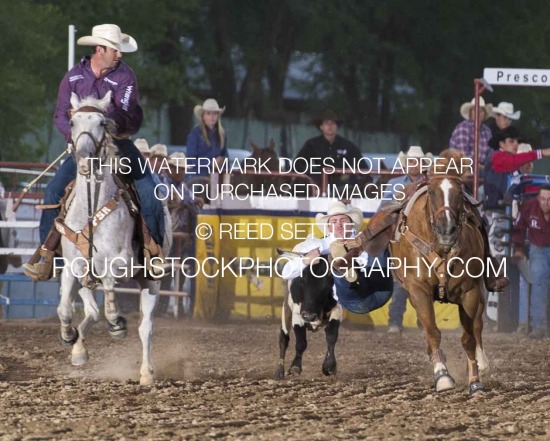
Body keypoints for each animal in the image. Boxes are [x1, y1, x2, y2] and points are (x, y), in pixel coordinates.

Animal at [56, 91, 168, 384]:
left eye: (102, 122)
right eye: (72, 122)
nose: (85, 157)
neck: (92, 209)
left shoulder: (121, 263)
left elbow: (108, 285)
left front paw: (116, 322)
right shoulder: (71, 266)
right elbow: (65, 309)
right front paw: (69, 335)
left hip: (151, 281)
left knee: (145, 327)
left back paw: (146, 373)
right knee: (90, 310)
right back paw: (79, 349)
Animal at [388, 156, 492, 396]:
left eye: (459, 191)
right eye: (433, 191)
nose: (447, 230)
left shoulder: (470, 292)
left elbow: (468, 338)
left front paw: (475, 381)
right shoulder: (418, 290)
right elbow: (433, 332)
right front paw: (443, 376)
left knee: (478, 325)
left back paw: (482, 362)